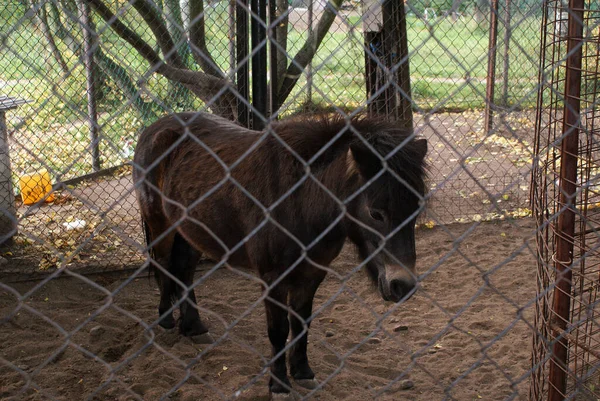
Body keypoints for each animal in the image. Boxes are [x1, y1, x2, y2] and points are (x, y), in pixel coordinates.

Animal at [134, 110, 428, 396]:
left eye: (416, 208)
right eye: (376, 213)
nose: (403, 286)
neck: (300, 199)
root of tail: (152, 130)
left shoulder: (311, 274)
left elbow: (301, 324)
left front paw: (303, 372)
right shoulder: (272, 277)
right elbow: (278, 330)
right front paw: (278, 385)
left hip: (192, 232)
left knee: (183, 270)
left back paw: (194, 327)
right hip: (161, 225)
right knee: (163, 265)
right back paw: (166, 320)